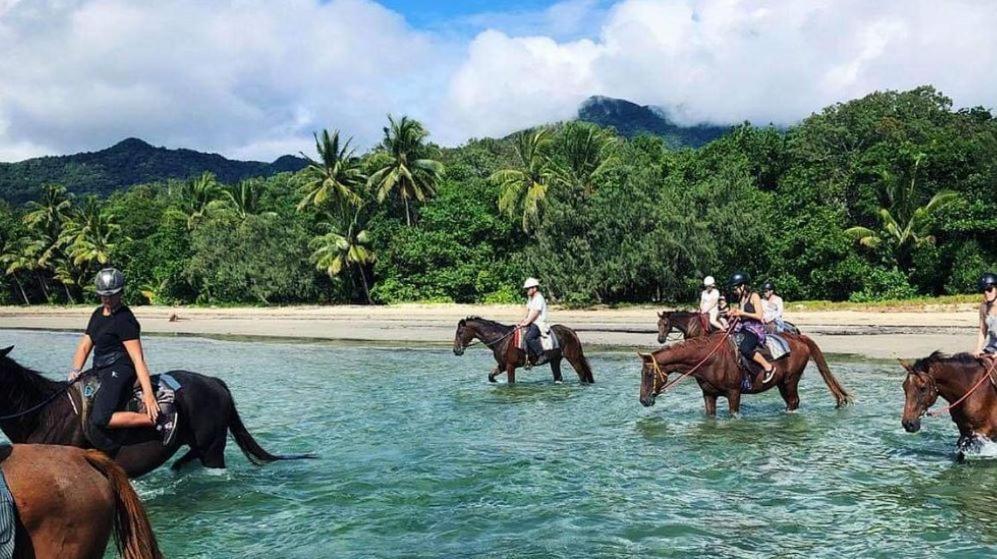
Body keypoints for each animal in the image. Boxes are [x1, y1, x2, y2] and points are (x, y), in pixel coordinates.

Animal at [454, 318, 600, 382]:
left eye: (460, 332)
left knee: (582, 375)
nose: (456, 350)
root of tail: (571, 331)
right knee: (559, 377)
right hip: (555, 360)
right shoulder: (502, 365)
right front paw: (495, 381)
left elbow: (511, 383)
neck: (502, 339)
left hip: (573, 358)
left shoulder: (510, 366)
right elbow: (490, 376)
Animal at [640, 332, 848, 416]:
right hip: (782, 383)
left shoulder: (734, 393)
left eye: (649, 374)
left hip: (790, 381)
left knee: (793, 402)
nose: (643, 400)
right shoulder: (708, 395)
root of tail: (799, 338)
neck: (710, 359)